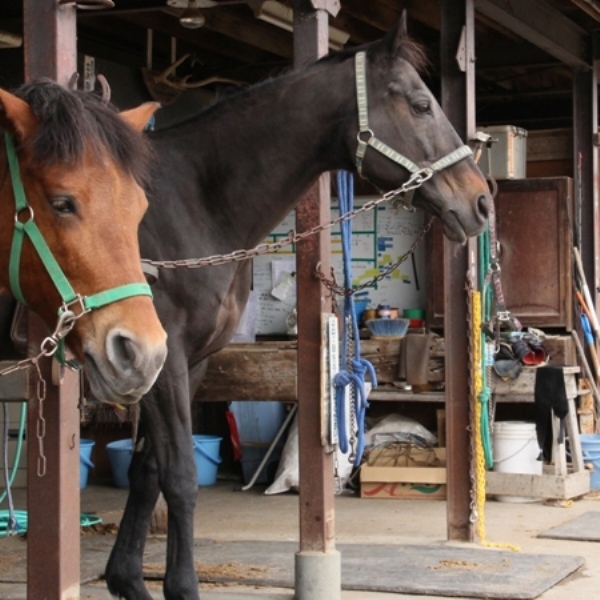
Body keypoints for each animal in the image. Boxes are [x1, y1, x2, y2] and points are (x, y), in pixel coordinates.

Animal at [105, 18, 490, 600]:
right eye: (422, 105)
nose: (482, 202)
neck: (189, 202)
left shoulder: (187, 363)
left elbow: (147, 471)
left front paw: (125, 577)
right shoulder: (159, 362)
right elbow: (179, 477)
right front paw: (179, 585)